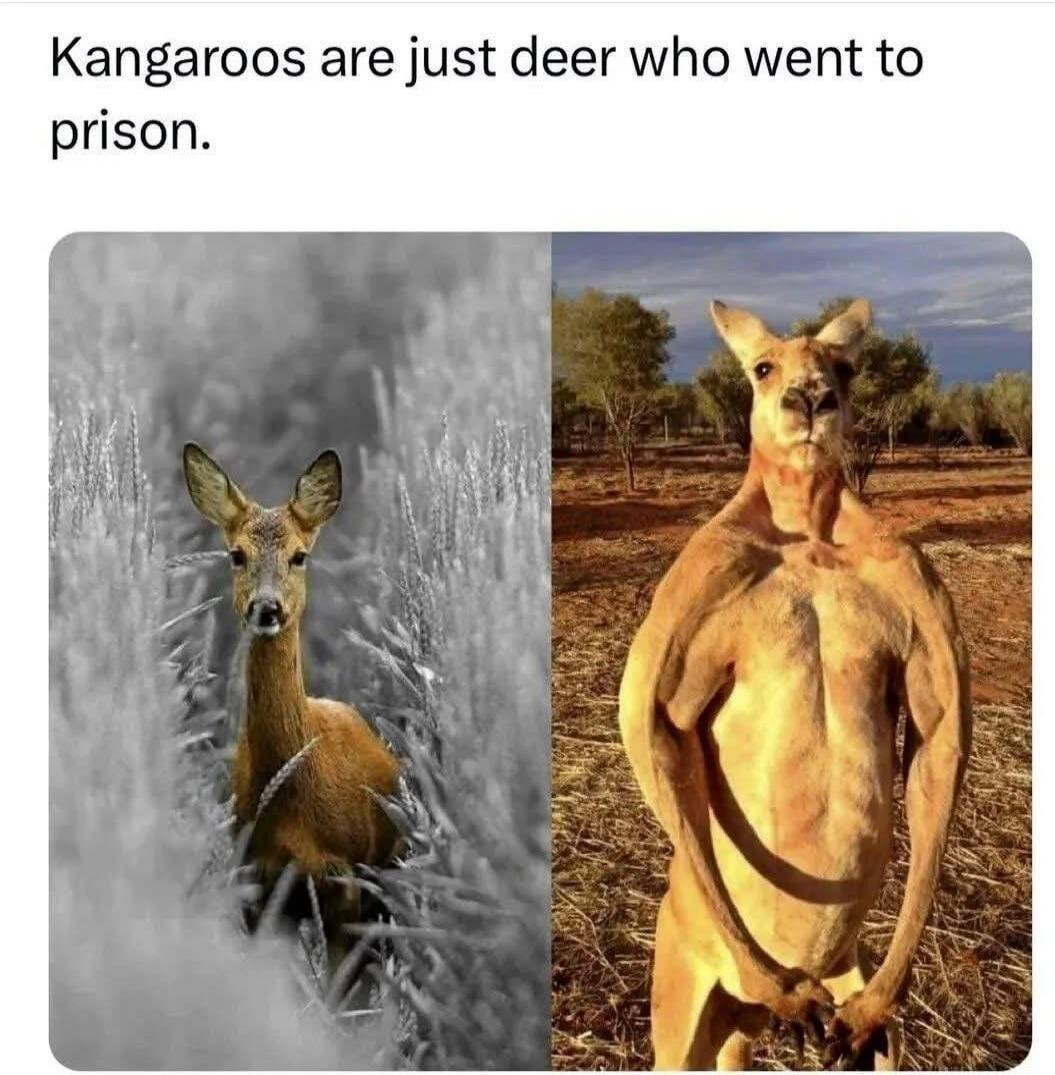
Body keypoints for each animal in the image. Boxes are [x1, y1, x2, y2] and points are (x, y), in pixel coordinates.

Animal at [619, 299, 971, 1070]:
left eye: (845, 367)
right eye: (761, 366)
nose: (809, 399)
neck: (808, 528)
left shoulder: (914, 577)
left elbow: (938, 733)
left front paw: (876, 1003)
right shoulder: (700, 577)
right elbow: (655, 723)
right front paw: (779, 984)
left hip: (824, 994)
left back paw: (849, 1011)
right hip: (682, 991)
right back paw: (781, 988)